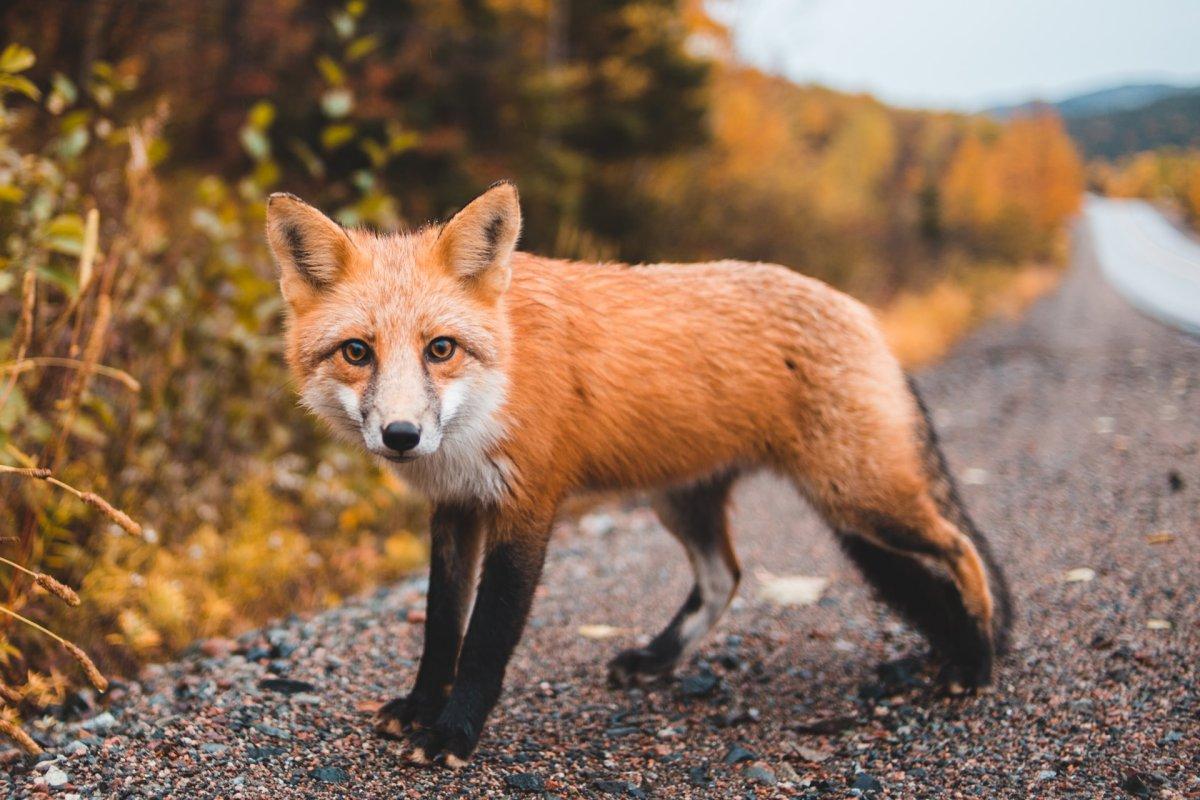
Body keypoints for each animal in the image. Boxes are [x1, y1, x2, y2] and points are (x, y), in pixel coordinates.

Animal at [265, 183, 1012, 767]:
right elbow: (441, 626)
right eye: (357, 352)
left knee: (961, 551)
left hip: (858, 499)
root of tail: (861, 311)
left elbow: (485, 640)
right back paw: (658, 659)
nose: (401, 436)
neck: (498, 383)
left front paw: (454, 733)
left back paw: (975, 659)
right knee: (724, 577)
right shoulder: (455, 508)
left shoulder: (527, 507)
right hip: (688, 502)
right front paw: (423, 707)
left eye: (440, 348)